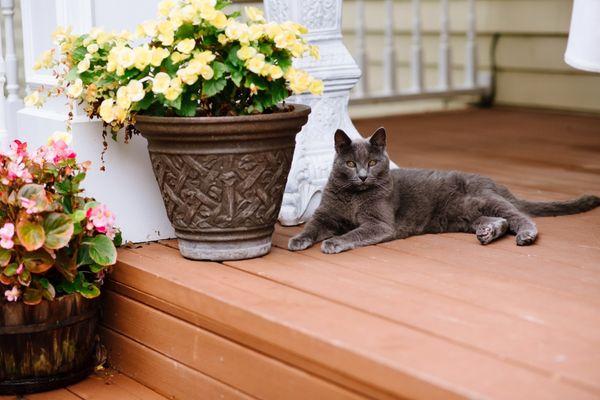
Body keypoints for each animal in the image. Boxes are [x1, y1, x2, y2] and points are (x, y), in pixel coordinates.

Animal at [288, 126, 596, 255]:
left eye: (372, 163)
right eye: (351, 163)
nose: (363, 176)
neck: (354, 196)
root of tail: (494, 182)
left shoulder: (379, 224)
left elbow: (354, 233)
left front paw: (334, 243)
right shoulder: (325, 215)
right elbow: (312, 226)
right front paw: (298, 240)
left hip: (484, 198)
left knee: (518, 217)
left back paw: (526, 235)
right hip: (464, 214)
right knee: (500, 220)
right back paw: (488, 232)